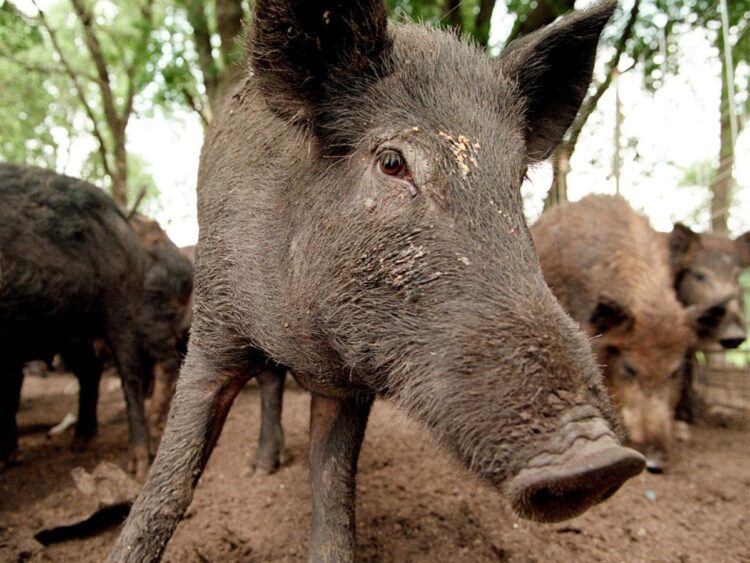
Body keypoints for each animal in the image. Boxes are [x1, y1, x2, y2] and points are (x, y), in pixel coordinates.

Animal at [0, 163, 150, 477]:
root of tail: (118, 211)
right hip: (70, 327)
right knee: (90, 369)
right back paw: (79, 443)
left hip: (121, 303)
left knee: (130, 372)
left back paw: (138, 465)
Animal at [108, 2, 645, 561]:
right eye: (392, 161)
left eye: (516, 178)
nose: (599, 462)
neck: (306, 342)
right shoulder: (213, 322)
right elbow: (170, 484)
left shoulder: (348, 386)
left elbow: (333, 495)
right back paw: (261, 469)